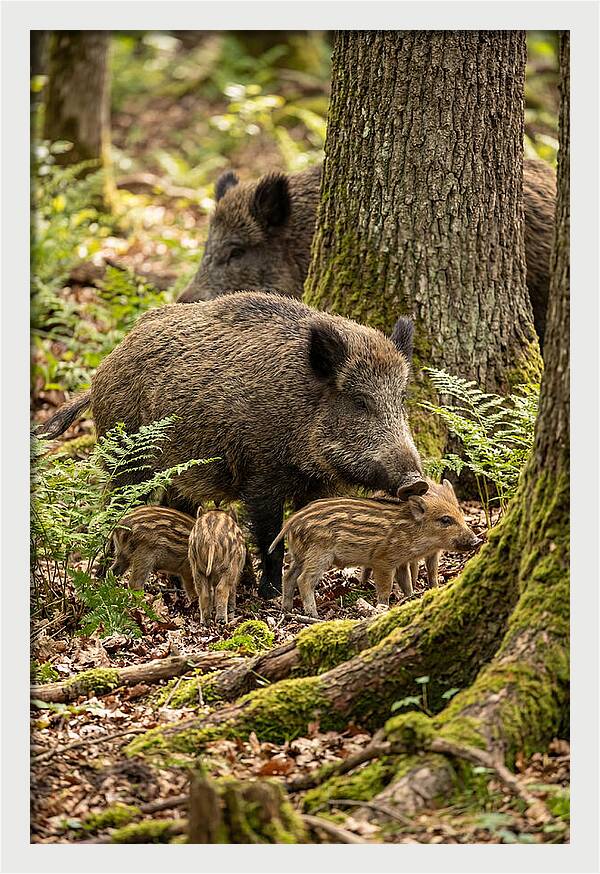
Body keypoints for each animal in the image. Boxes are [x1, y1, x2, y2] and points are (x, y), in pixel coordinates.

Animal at [36, 291, 425, 600]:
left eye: (400, 399)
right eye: (359, 401)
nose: (416, 482)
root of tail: (103, 368)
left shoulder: (318, 485)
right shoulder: (261, 475)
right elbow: (270, 537)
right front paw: (269, 594)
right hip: (128, 457)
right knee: (114, 508)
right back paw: (102, 577)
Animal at [270, 481, 481, 618]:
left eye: (460, 513)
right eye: (445, 519)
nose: (476, 540)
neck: (411, 531)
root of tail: (292, 521)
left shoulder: (401, 562)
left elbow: (406, 582)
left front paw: (411, 598)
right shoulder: (383, 561)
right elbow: (385, 588)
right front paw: (383, 607)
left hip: (300, 555)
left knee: (288, 576)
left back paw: (286, 609)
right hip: (319, 554)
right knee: (304, 580)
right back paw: (313, 615)